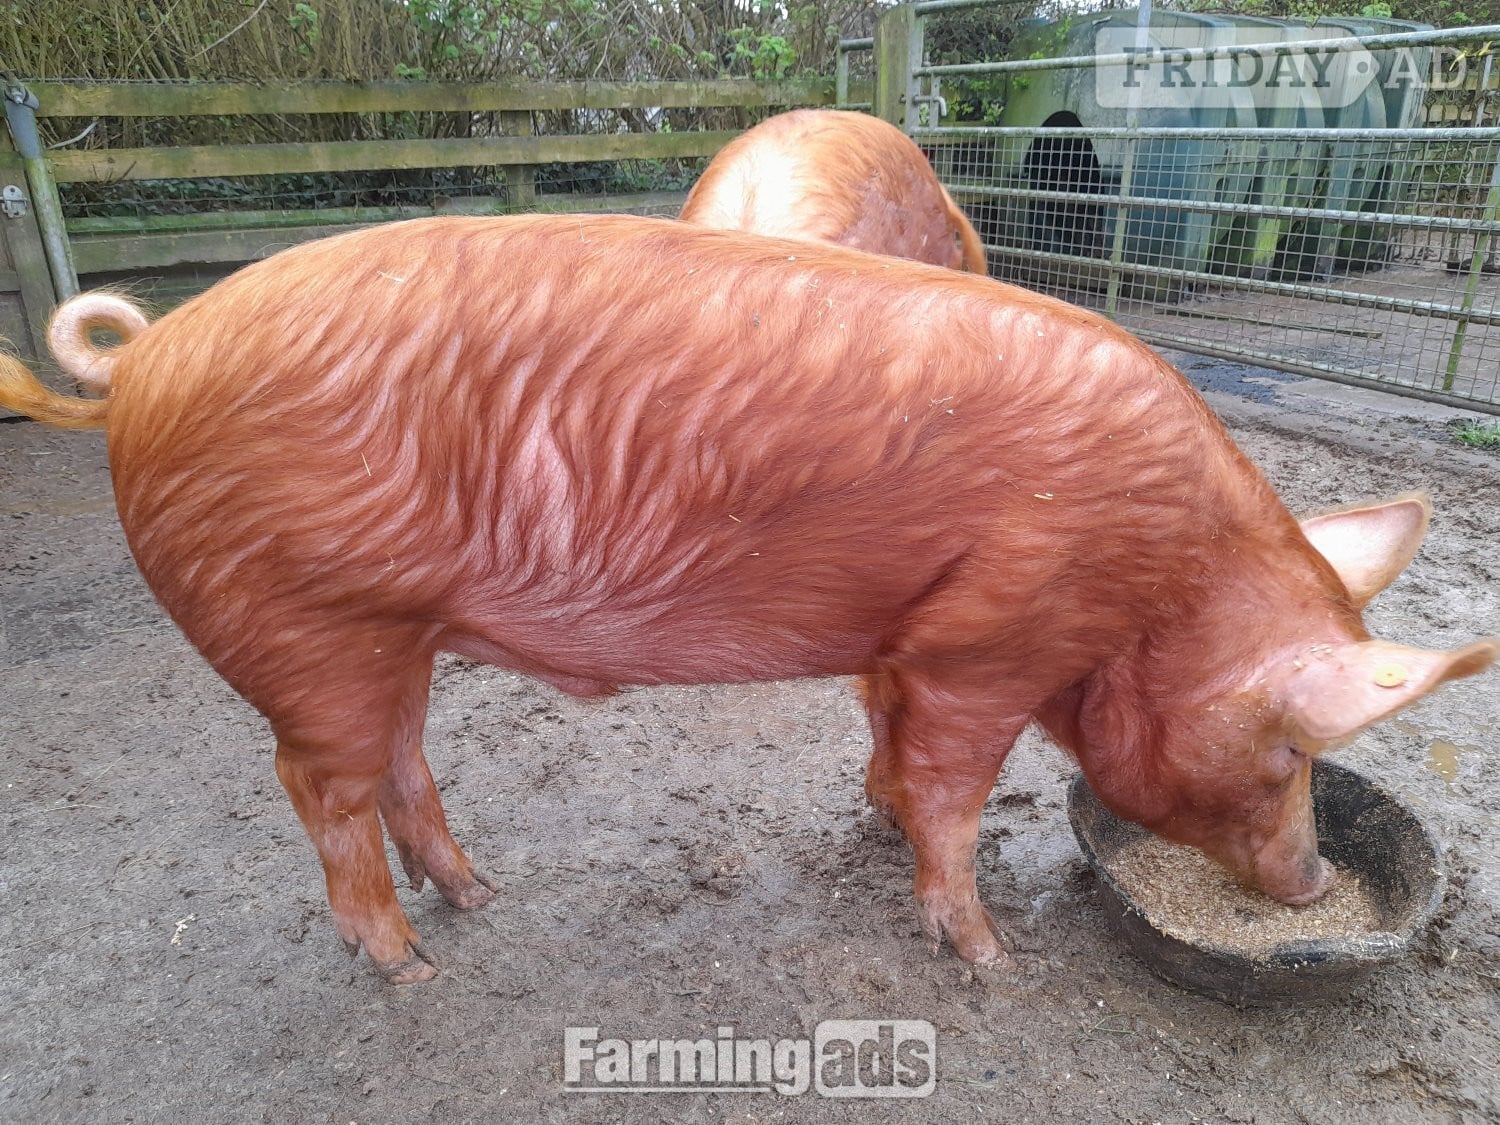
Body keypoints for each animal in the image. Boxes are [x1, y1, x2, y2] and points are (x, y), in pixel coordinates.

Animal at [1, 214, 1492, 985]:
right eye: (1293, 751)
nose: (1311, 882)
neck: (1154, 583)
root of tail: (145, 362)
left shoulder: (910, 637)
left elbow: (890, 741)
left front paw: (876, 821)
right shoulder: (992, 643)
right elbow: (957, 793)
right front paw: (986, 956)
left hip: (389, 635)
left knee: (400, 764)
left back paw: (478, 897)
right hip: (304, 623)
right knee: (320, 790)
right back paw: (410, 960)